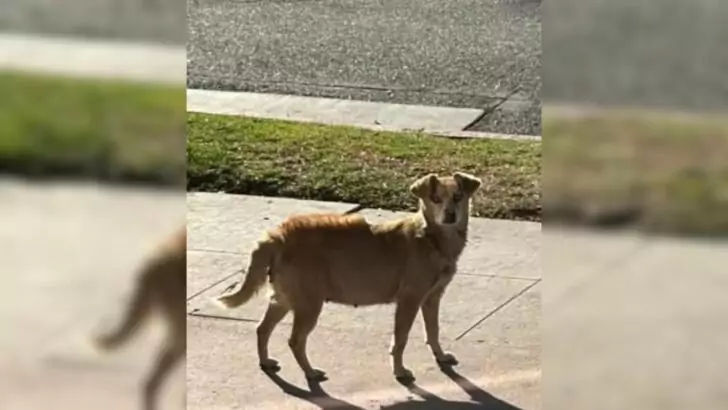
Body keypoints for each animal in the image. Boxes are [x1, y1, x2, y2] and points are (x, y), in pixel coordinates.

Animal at [215, 171, 484, 382]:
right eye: (435, 198)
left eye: (458, 197)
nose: (450, 215)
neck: (431, 237)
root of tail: (278, 235)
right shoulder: (409, 300)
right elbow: (400, 339)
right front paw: (399, 371)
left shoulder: (432, 298)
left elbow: (433, 331)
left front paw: (440, 355)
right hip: (308, 304)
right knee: (295, 340)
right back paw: (310, 372)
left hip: (284, 299)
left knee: (262, 329)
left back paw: (266, 361)